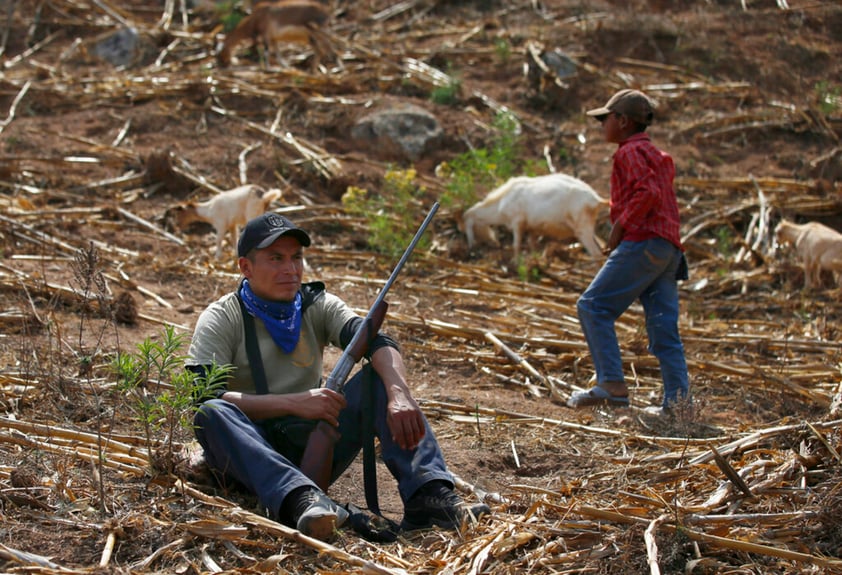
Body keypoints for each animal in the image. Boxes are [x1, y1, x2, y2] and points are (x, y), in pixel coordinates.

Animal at [456, 172, 608, 260]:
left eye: (467, 229)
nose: (471, 249)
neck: (502, 201)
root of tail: (596, 199)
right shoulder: (533, 229)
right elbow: (531, 245)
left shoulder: (517, 222)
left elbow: (516, 245)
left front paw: (515, 262)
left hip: (583, 229)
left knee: (597, 254)